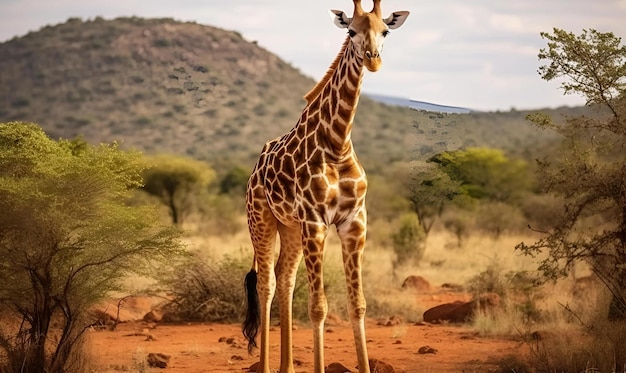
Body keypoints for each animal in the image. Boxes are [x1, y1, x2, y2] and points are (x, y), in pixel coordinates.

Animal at [241, 1, 408, 370]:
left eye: (385, 31)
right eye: (351, 30)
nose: (373, 59)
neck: (337, 143)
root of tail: (255, 169)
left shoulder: (354, 222)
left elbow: (357, 304)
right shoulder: (316, 221)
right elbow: (318, 307)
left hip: (290, 227)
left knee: (285, 279)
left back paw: (288, 366)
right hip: (261, 220)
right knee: (266, 283)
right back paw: (267, 366)